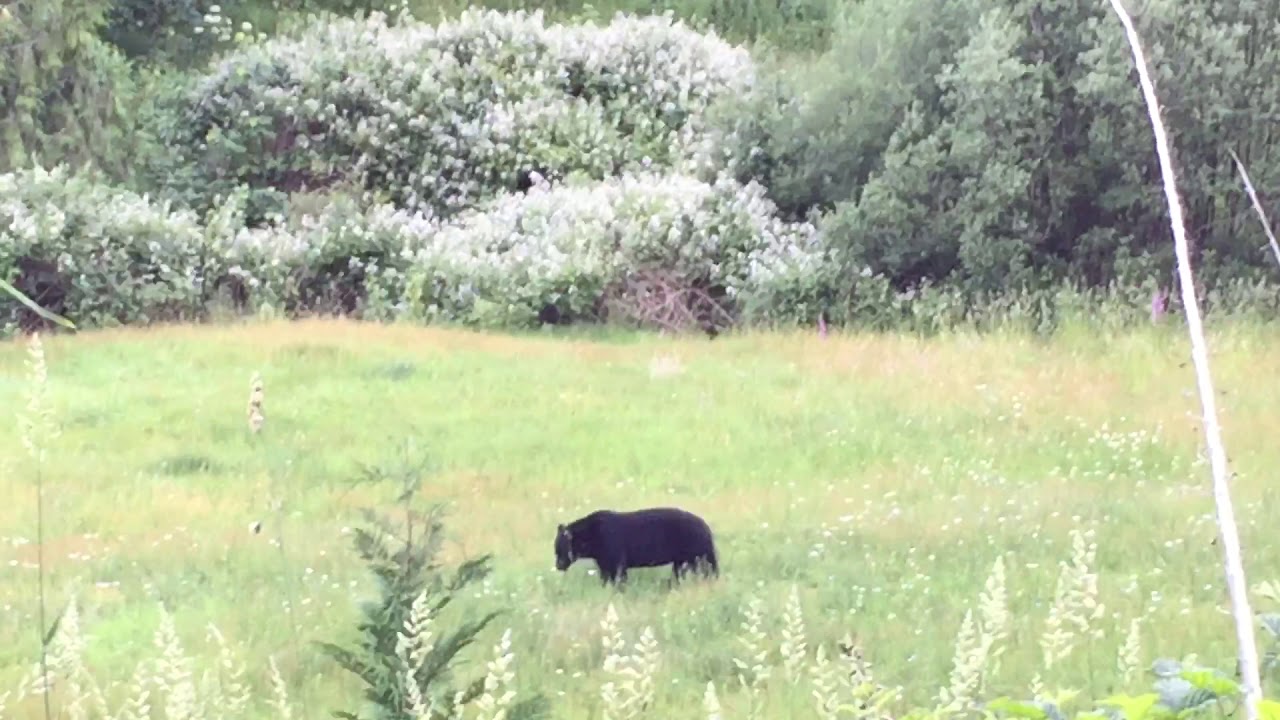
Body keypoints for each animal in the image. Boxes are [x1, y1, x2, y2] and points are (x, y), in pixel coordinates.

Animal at [553, 506, 719, 586]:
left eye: (559, 550)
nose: (558, 566)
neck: (591, 537)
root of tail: (707, 528)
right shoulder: (603, 562)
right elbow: (605, 576)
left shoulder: (614, 556)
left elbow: (618, 575)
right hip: (682, 559)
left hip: (696, 552)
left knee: (706, 569)